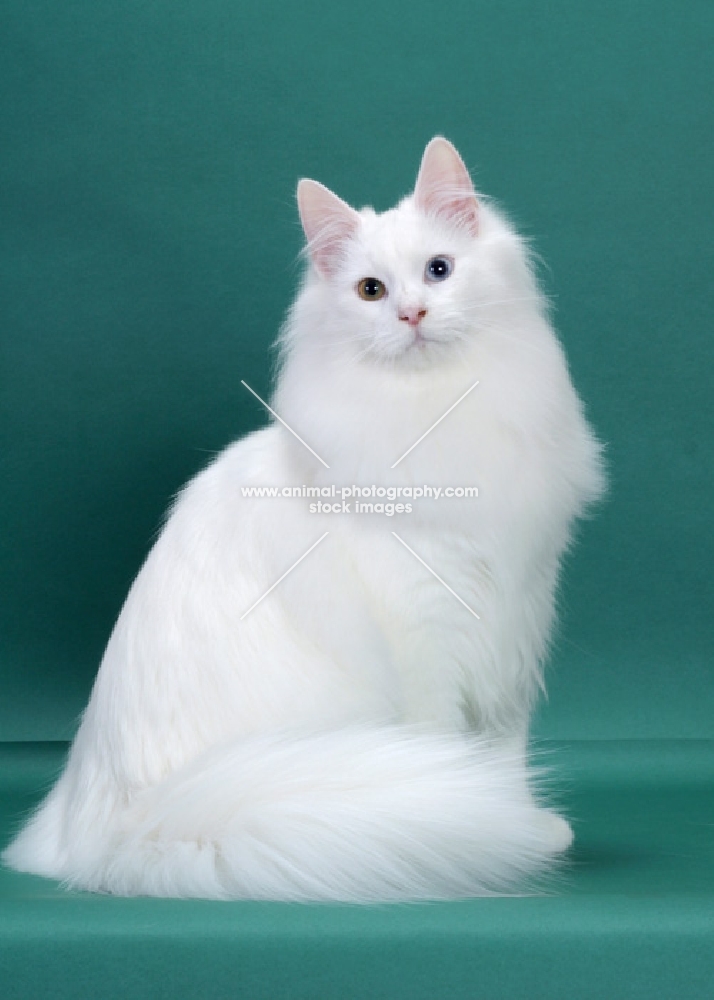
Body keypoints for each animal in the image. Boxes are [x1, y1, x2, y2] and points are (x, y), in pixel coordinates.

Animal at [2, 139, 604, 900]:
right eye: (371, 291)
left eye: (438, 271)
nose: (412, 314)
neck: (435, 414)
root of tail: (109, 833)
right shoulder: (428, 628)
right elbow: (447, 746)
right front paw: (491, 820)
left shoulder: (515, 617)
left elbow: (505, 749)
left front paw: (521, 819)